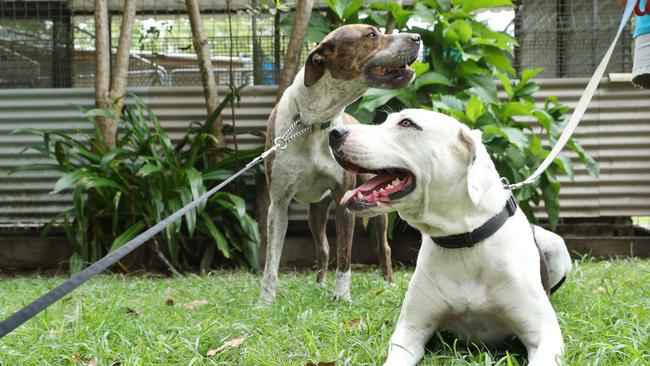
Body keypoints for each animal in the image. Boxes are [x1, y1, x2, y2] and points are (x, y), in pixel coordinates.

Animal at [258, 24, 420, 302]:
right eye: (371, 35)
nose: (418, 37)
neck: (312, 123)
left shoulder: (346, 199)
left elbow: (344, 257)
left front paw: (342, 297)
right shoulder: (278, 204)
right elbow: (272, 261)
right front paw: (265, 301)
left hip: (376, 207)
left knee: (384, 246)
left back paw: (388, 282)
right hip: (315, 212)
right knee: (322, 247)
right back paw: (320, 283)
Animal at [326, 109, 568, 366]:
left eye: (407, 123)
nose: (334, 132)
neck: (462, 238)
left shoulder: (544, 335)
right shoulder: (410, 331)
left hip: (556, 245)